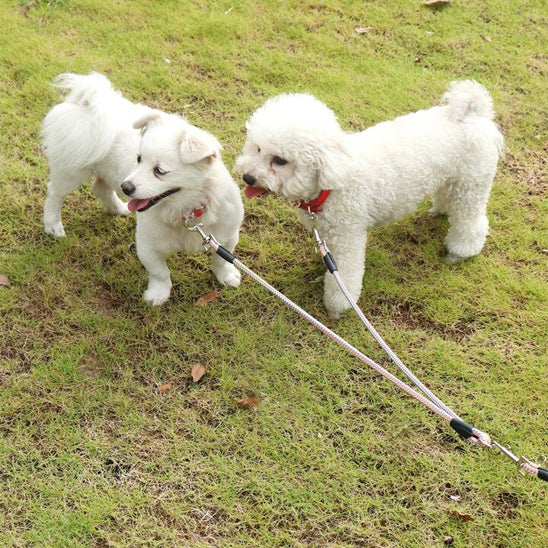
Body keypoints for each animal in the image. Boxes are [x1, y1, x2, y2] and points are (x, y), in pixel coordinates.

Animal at [44, 72, 245, 304]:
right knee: (54, 194)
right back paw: (53, 225)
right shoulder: (148, 246)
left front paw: (226, 276)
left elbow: (222, 261)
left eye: (160, 171)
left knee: (101, 189)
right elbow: (160, 272)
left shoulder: (227, 238)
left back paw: (118, 209)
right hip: (72, 171)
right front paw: (158, 295)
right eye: (138, 159)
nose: (126, 187)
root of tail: (89, 101)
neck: (185, 211)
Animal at [235, 80, 500, 316]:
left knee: (471, 220)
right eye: (257, 148)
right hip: (451, 178)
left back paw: (460, 251)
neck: (330, 181)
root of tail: (473, 113)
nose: (248, 177)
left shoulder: (349, 235)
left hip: (472, 184)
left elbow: (346, 277)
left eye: (280, 160)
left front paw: (338, 306)